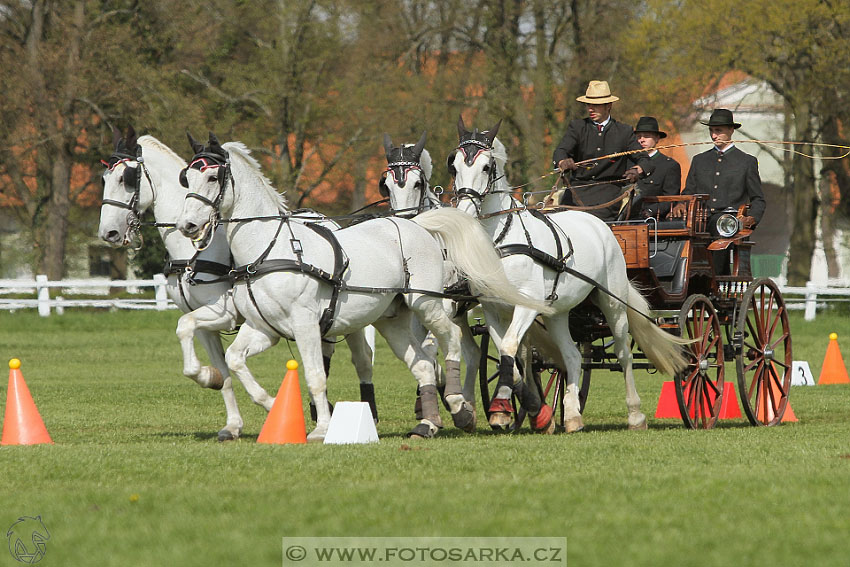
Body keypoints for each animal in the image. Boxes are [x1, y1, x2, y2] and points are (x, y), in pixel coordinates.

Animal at [175, 134, 544, 444]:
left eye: (212, 177)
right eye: (186, 178)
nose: (187, 225)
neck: (271, 248)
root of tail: (416, 224)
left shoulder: (305, 325)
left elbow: (315, 375)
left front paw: (321, 429)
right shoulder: (264, 329)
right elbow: (232, 359)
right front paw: (260, 399)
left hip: (426, 304)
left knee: (453, 342)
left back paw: (460, 405)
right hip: (392, 321)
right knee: (424, 365)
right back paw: (428, 424)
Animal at [448, 117, 684, 432]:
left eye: (486, 166)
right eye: (454, 165)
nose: (463, 211)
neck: (502, 240)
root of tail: (597, 222)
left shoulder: (526, 304)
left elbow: (510, 347)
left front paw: (513, 408)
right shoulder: (493, 309)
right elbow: (508, 354)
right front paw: (521, 411)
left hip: (612, 303)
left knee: (623, 353)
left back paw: (635, 415)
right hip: (557, 312)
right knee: (571, 356)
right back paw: (572, 415)